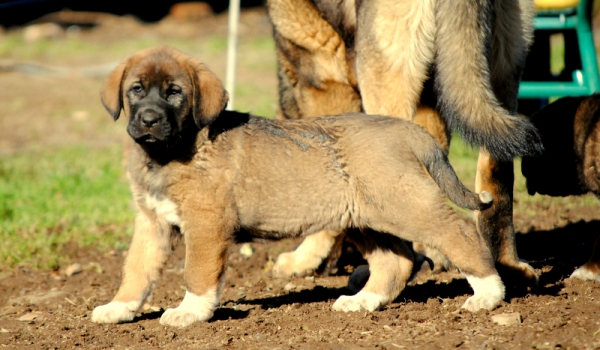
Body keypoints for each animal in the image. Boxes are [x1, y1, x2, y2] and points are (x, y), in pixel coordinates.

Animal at [90, 46, 502, 328]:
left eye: (174, 92)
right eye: (136, 90)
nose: (148, 120)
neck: (166, 154)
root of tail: (407, 130)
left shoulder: (206, 225)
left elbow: (197, 272)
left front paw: (189, 312)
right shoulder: (152, 223)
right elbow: (136, 269)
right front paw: (119, 307)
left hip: (408, 205)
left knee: (460, 232)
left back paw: (488, 293)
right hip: (364, 217)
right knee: (396, 260)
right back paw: (363, 300)